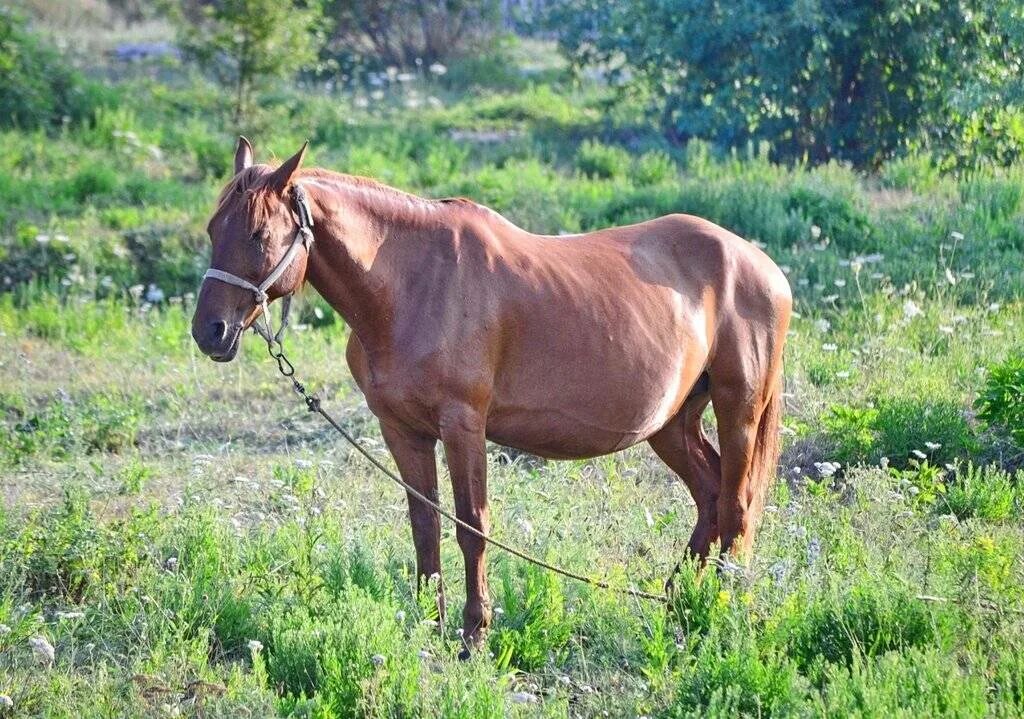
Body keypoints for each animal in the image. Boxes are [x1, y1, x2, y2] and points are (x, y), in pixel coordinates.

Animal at [195, 138, 794, 651]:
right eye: (212, 228)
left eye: (257, 234)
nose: (210, 332)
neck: (412, 283)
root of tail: (761, 265)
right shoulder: (403, 431)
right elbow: (426, 524)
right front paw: (427, 624)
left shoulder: (464, 425)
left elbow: (473, 524)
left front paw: (474, 632)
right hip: (671, 424)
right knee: (710, 495)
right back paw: (678, 602)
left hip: (739, 409)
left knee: (737, 507)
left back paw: (720, 610)